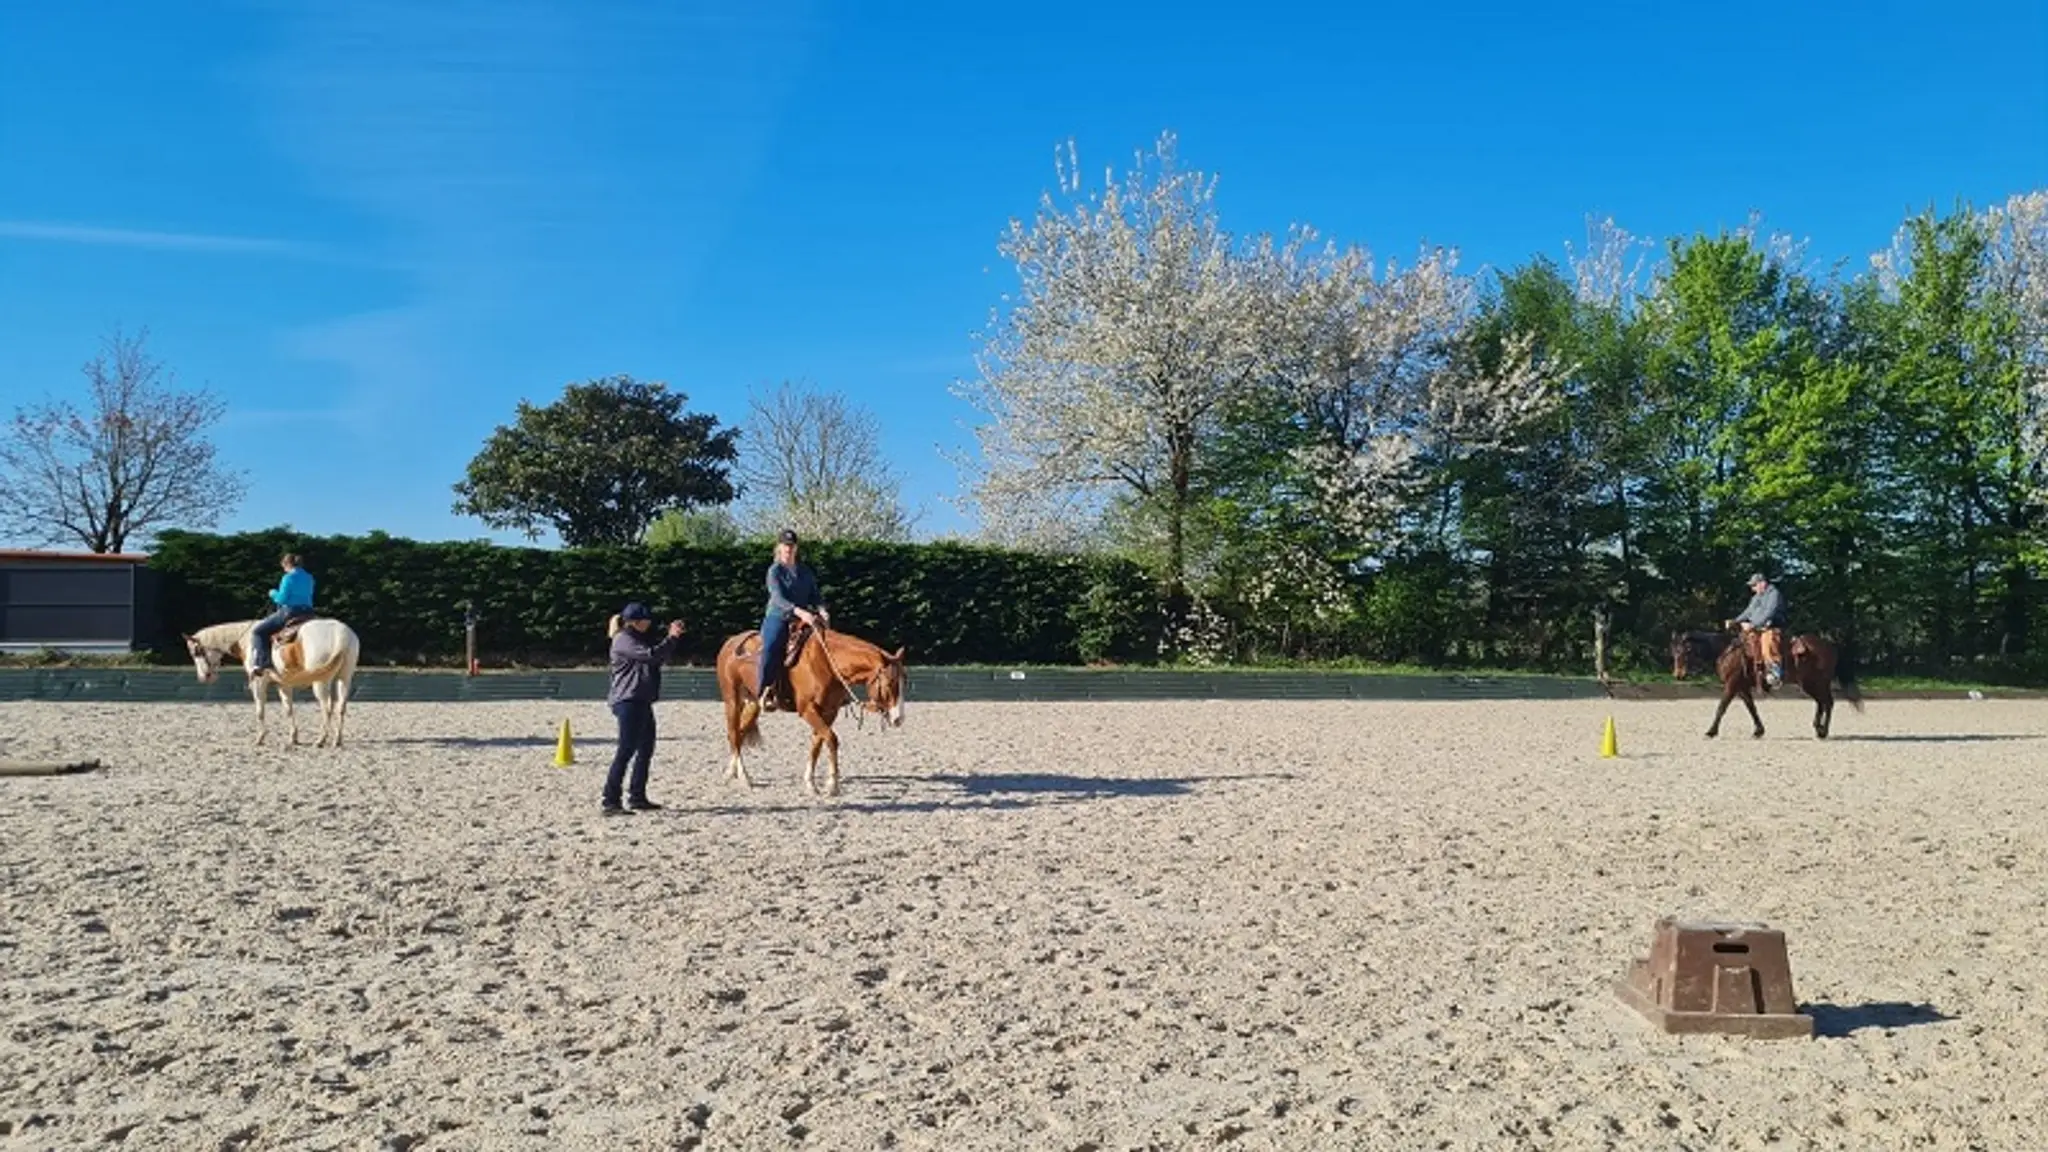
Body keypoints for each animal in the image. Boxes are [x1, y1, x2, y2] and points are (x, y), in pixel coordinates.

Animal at [182, 616, 362, 748]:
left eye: (195, 652)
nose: (203, 677)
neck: (245, 640)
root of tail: (341, 634)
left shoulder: (258, 681)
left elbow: (260, 710)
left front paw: (260, 738)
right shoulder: (283, 684)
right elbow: (288, 709)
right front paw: (293, 738)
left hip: (321, 682)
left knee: (327, 708)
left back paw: (321, 740)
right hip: (345, 678)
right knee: (341, 707)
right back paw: (337, 740)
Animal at [714, 621, 907, 796]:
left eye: (904, 681)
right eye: (889, 684)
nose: (899, 719)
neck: (824, 663)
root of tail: (730, 641)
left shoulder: (829, 711)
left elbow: (817, 743)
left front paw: (811, 784)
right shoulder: (807, 710)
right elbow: (831, 739)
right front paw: (833, 785)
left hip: (753, 704)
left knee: (739, 734)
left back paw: (732, 773)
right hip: (732, 700)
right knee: (733, 733)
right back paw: (744, 777)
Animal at [1669, 627, 1862, 739]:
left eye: (1685, 651)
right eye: (1674, 652)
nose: (1678, 675)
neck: (1727, 651)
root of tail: (1830, 645)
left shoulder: (1731, 685)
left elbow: (1722, 707)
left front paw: (1711, 731)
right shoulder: (1742, 687)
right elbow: (1752, 708)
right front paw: (1758, 731)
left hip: (1817, 683)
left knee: (1827, 702)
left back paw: (1824, 731)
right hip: (1811, 684)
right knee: (1821, 703)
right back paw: (1818, 729)